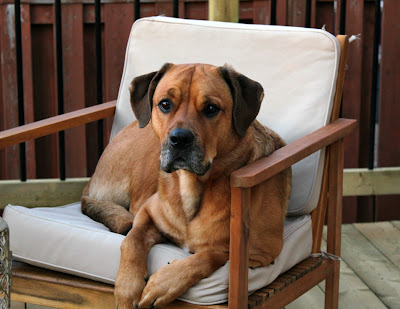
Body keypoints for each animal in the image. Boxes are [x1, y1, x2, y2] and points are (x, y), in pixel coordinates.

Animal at [81, 62, 292, 306]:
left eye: (211, 108)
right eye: (165, 104)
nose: (179, 139)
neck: (192, 187)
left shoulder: (262, 252)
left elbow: (214, 254)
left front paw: (164, 283)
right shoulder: (146, 213)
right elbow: (131, 241)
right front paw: (127, 288)